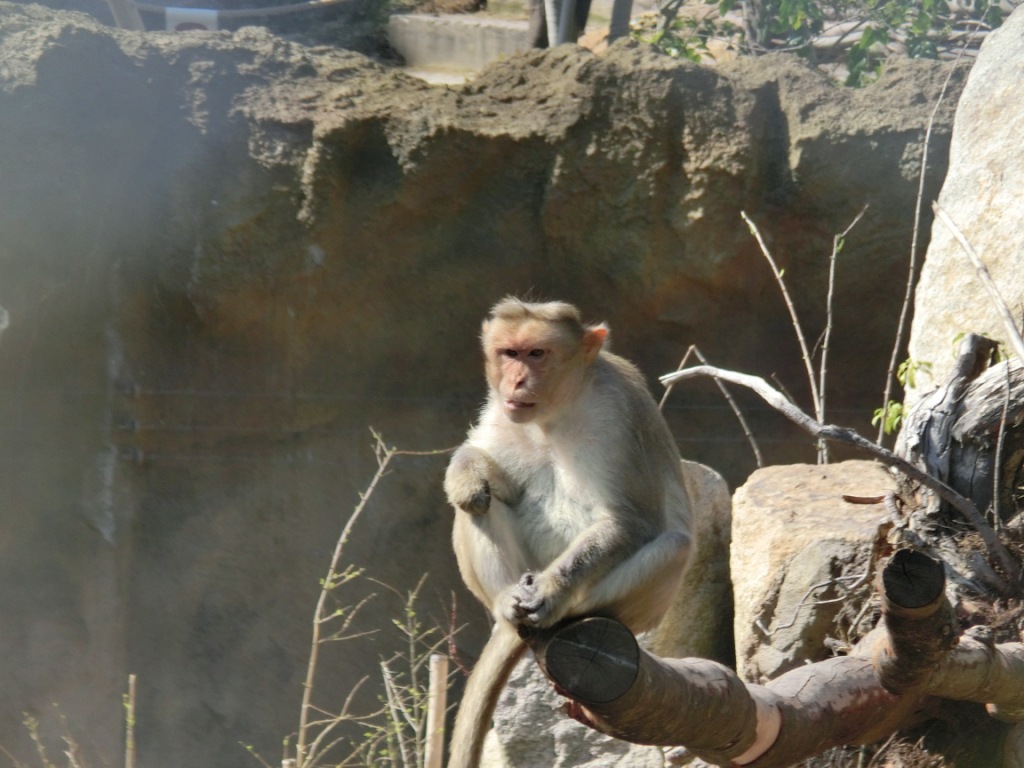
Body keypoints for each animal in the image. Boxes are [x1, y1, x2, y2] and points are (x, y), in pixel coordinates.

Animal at [444, 299, 692, 768]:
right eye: (509, 352)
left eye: (537, 353)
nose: (517, 380)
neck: (555, 413)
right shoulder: (500, 411)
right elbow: (491, 477)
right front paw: (465, 473)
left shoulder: (618, 411)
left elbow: (630, 519)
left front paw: (551, 591)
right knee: (480, 505)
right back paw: (506, 602)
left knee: (673, 545)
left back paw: (563, 611)